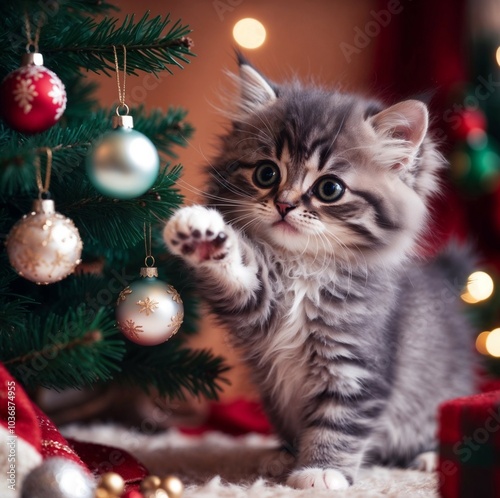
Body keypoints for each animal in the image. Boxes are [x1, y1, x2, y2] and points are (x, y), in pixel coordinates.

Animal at [162, 59, 474, 490]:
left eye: (330, 189)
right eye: (266, 174)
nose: (284, 205)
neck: (304, 267)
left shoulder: (356, 362)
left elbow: (339, 422)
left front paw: (320, 470)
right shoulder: (259, 303)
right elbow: (241, 267)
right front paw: (201, 234)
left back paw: (428, 457)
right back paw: (281, 454)